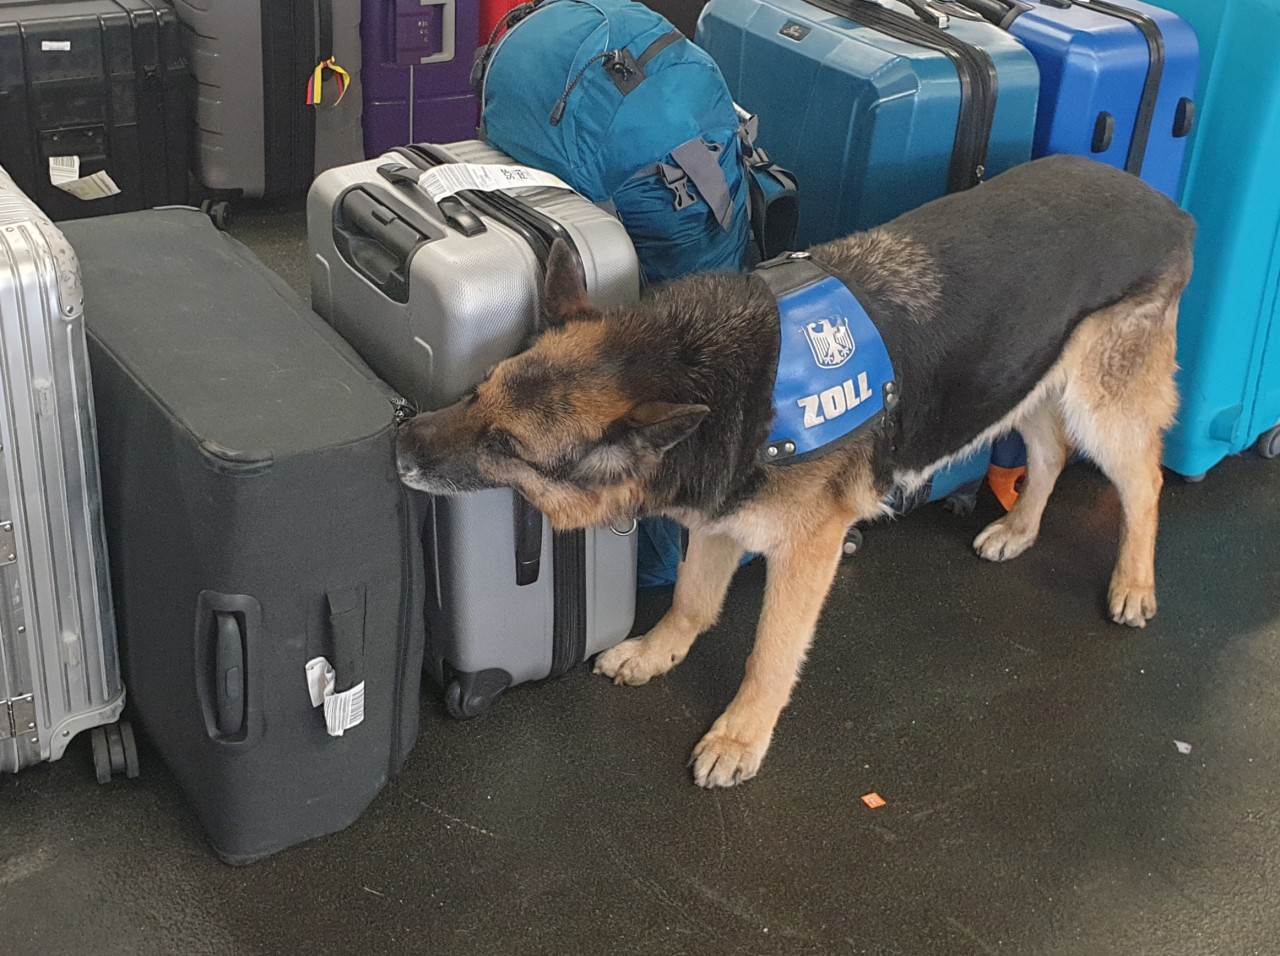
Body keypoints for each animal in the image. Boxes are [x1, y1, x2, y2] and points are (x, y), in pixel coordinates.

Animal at [394, 155, 1192, 783]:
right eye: (478, 391)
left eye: (507, 445)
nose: (398, 443)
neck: (709, 373)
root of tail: (1167, 206)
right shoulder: (722, 517)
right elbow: (691, 602)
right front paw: (657, 654)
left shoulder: (806, 552)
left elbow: (770, 655)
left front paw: (740, 735)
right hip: (1020, 380)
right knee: (1050, 451)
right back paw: (1020, 530)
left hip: (1102, 406)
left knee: (1144, 483)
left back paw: (1134, 583)